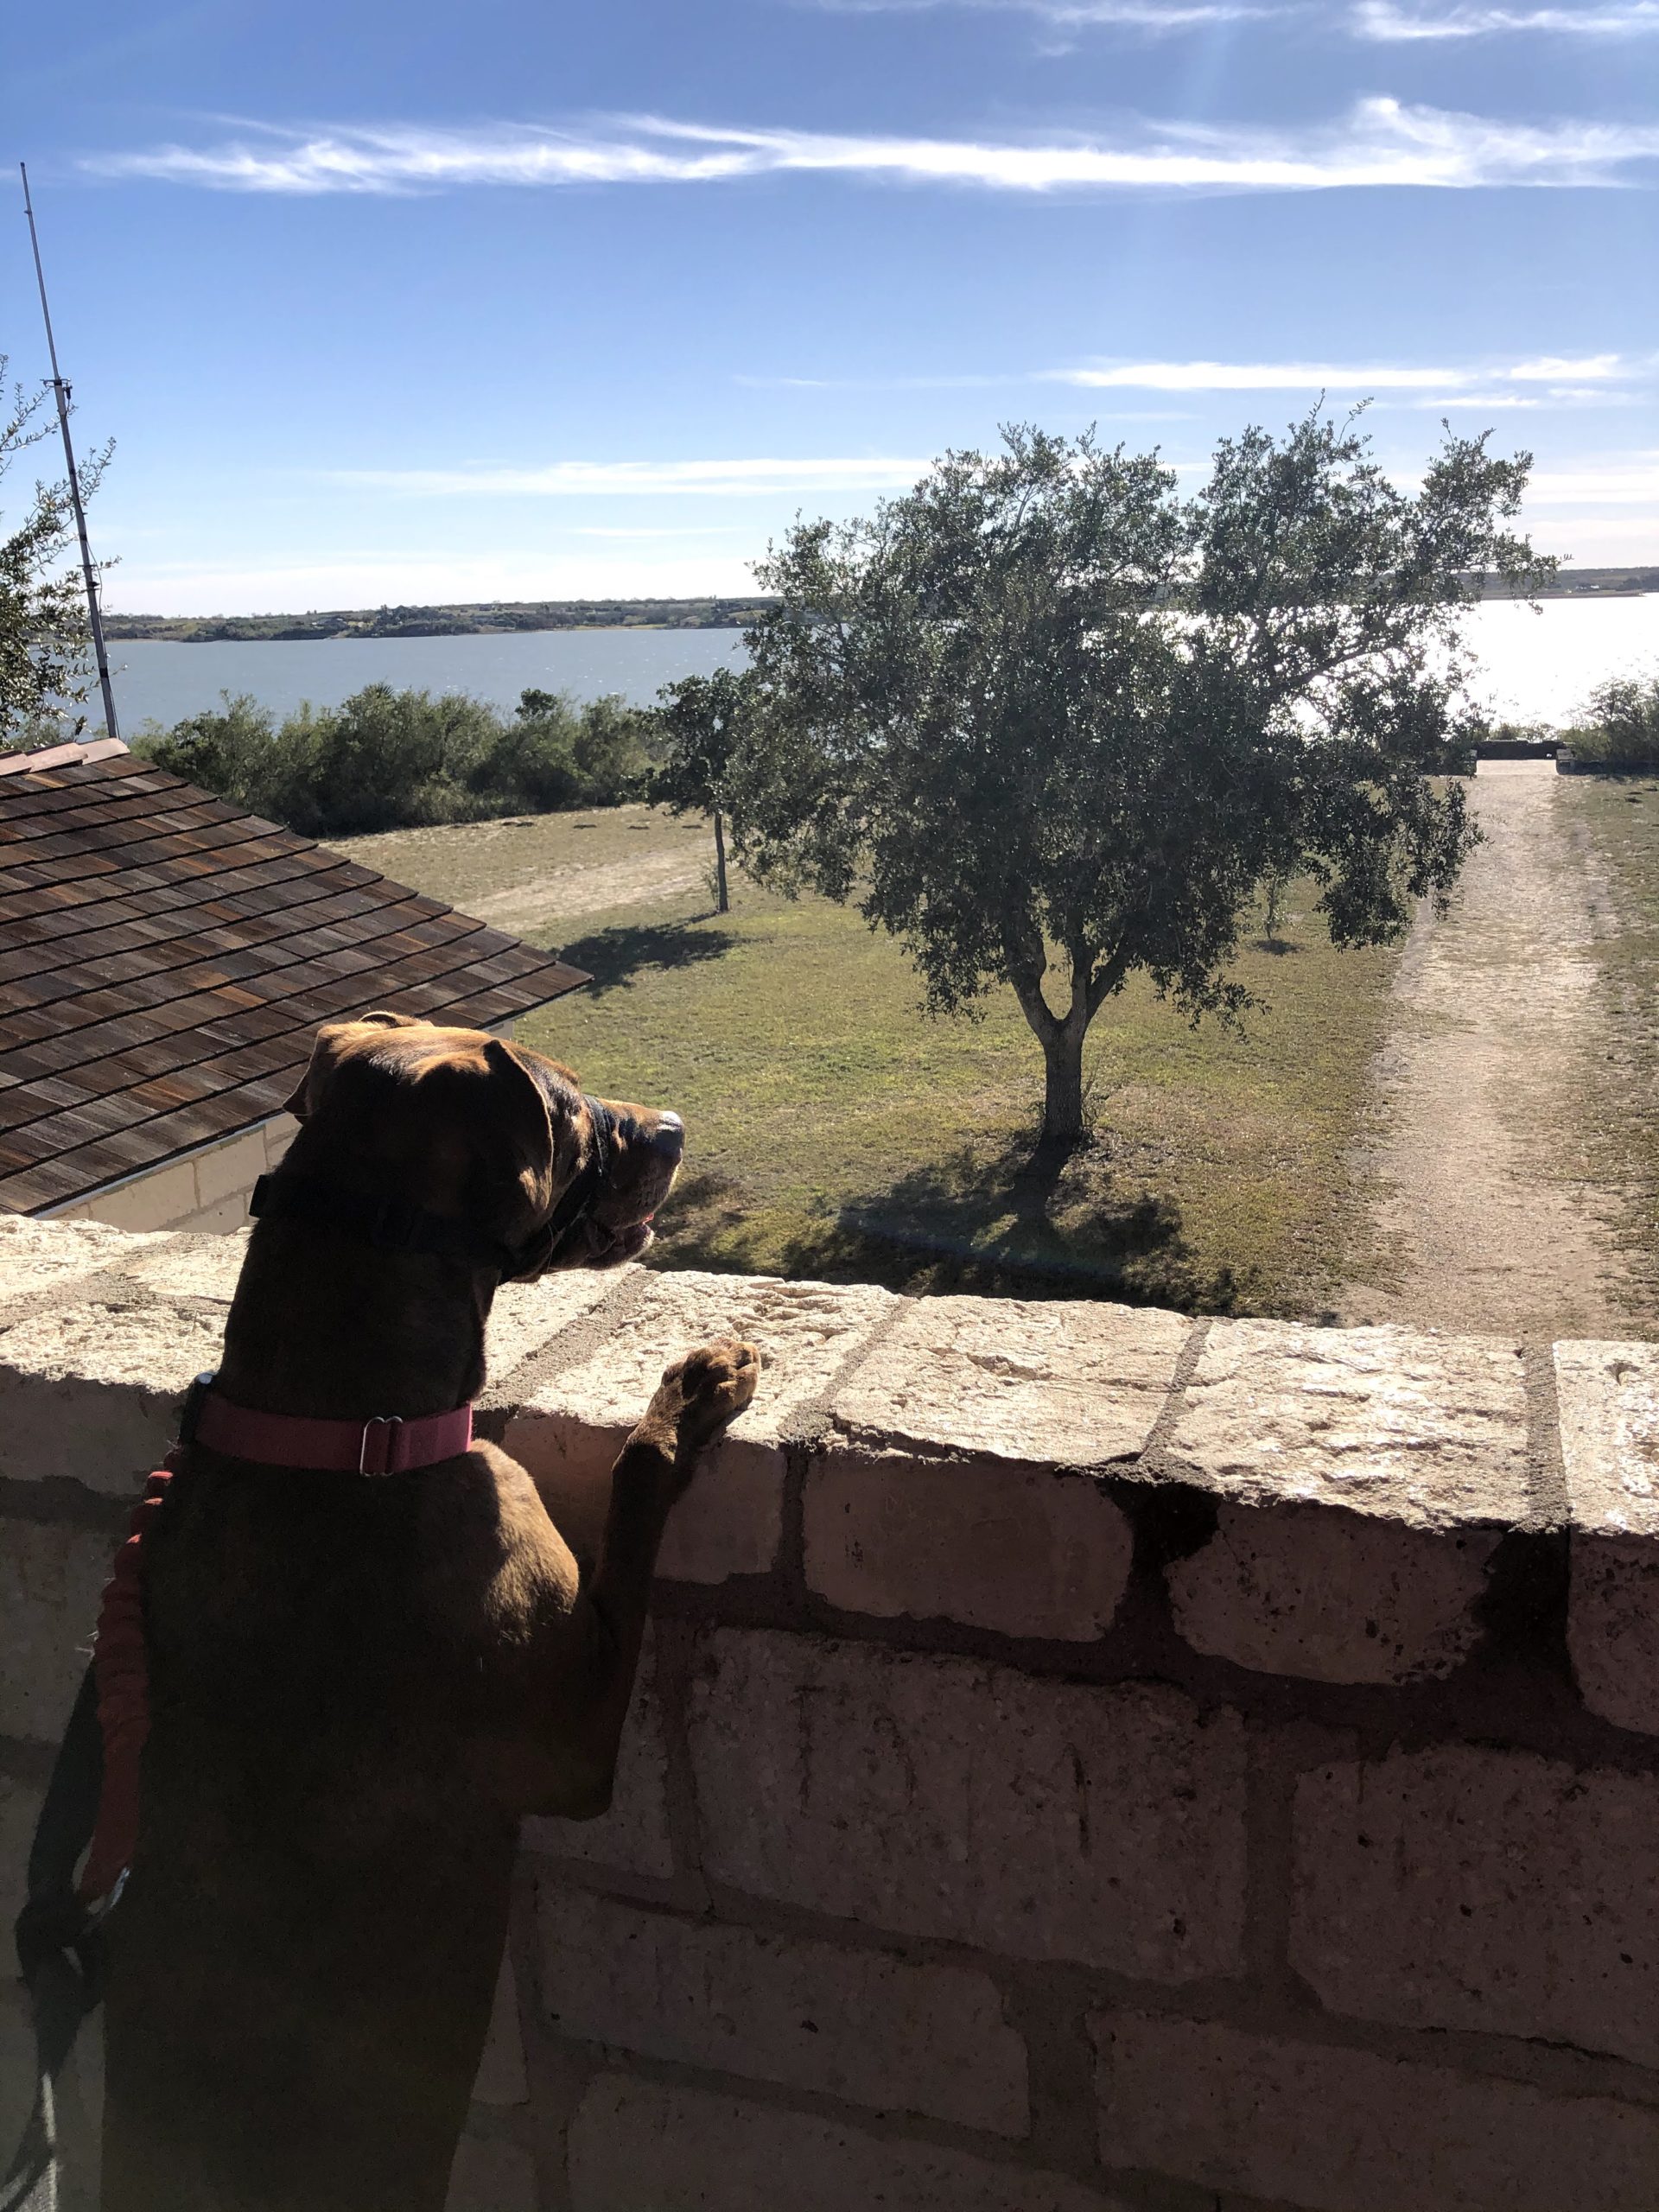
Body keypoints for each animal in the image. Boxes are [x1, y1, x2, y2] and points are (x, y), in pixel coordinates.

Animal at [97, 1017, 760, 2212]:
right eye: (570, 1106)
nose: (676, 1129)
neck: (340, 1431)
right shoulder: (573, 1733)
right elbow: (639, 1474)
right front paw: (695, 1387)